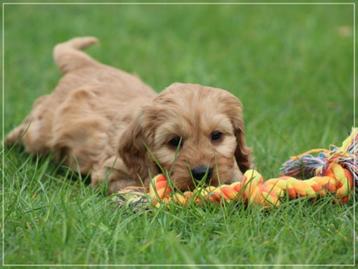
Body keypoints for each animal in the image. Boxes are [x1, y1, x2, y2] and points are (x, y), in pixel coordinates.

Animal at [5, 36, 252, 193]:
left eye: (217, 136)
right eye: (174, 142)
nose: (201, 172)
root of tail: (85, 64)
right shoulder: (110, 173)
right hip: (41, 131)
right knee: (27, 127)